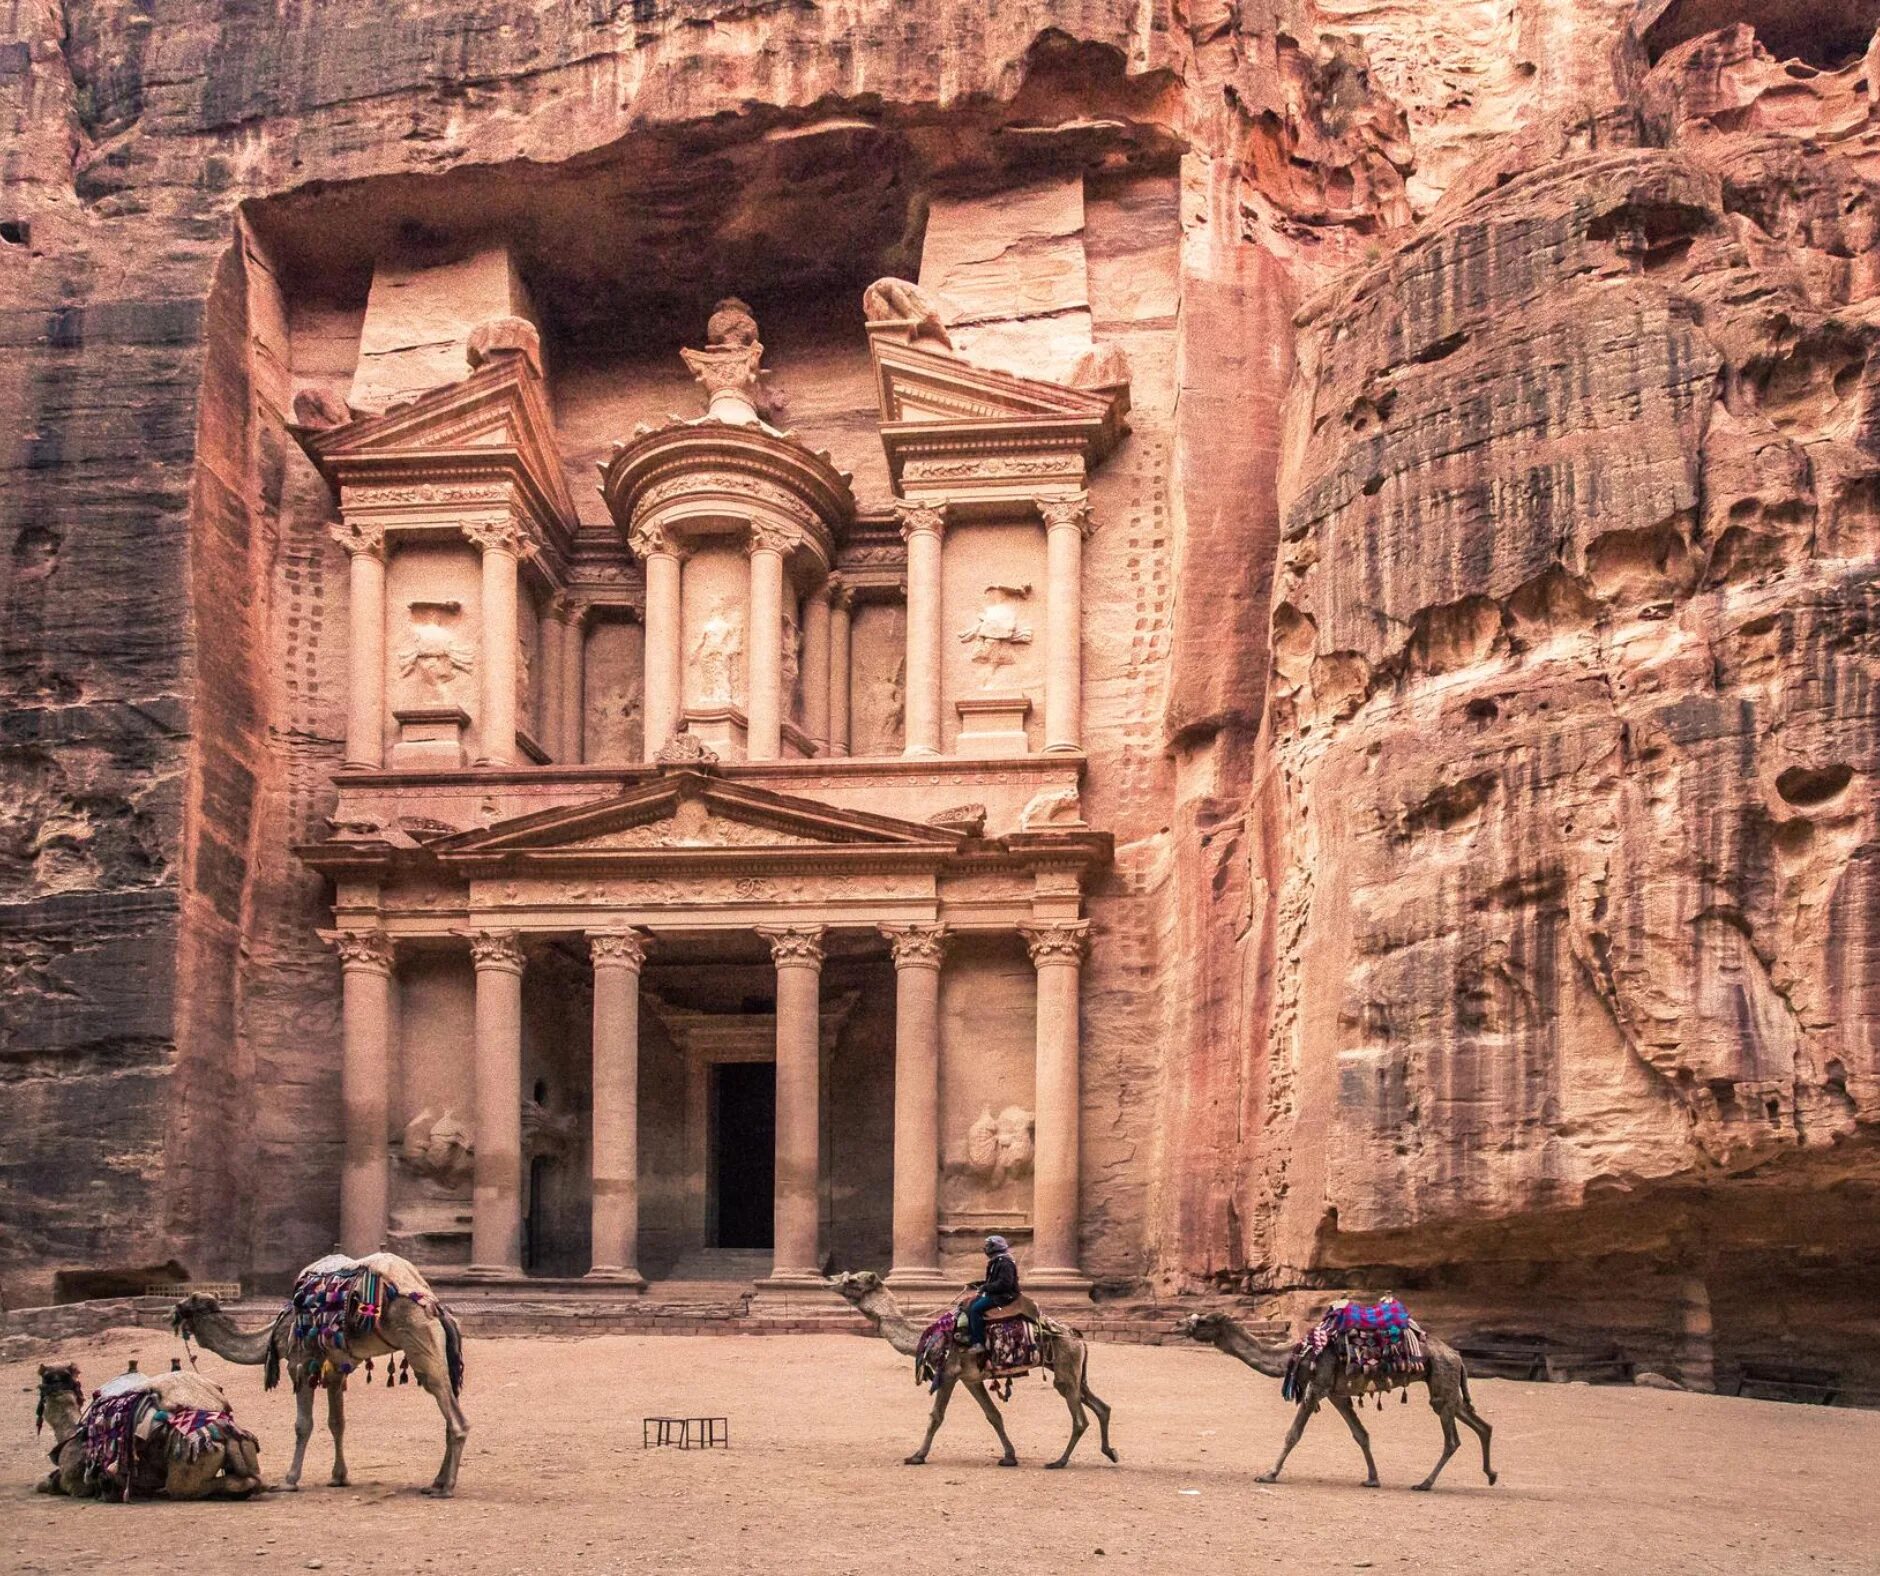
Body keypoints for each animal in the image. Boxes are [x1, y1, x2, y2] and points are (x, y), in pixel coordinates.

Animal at [33, 1361, 265, 1497]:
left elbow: (50, 1483)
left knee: (184, 1488)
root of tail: (223, 1430)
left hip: (190, 1467)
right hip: (242, 1449)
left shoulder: (76, 1483)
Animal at [172, 1256, 466, 1497]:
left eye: (189, 1302)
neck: (278, 1330)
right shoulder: (337, 1369)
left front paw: (289, 1480)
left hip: (420, 1338)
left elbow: (303, 1424)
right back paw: (436, 1483)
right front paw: (339, 1478)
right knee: (448, 1411)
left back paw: (446, 1487)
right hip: (438, 1352)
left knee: (455, 1418)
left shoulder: (300, 1362)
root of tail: (436, 1308)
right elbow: (337, 1422)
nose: (172, 1310)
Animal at [827, 1263, 1112, 1474]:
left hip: (1065, 1368)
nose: (829, 1279)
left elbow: (936, 1416)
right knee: (1101, 1406)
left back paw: (1059, 1462)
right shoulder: (970, 1378)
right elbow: (993, 1415)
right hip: (1073, 1371)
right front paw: (1009, 1457)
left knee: (1080, 1418)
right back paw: (1110, 1452)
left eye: (854, 1280)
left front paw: (917, 1455)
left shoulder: (949, 1373)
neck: (927, 1336)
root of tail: (1077, 1336)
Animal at [1173, 1323, 1496, 1497]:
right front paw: (1372, 1478)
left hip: (1442, 1381)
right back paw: (1491, 1475)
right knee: (1481, 1424)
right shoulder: (1336, 1394)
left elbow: (1293, 1434)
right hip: (1447, 1387)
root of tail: (1457, 1356)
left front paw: (1268, 1474)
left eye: (1201, 1320)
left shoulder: (1316, 1387)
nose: (1178, 1324)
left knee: (1452, 1438)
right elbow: (1360, 1434)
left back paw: (1425, 1483)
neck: (1293, 1354)